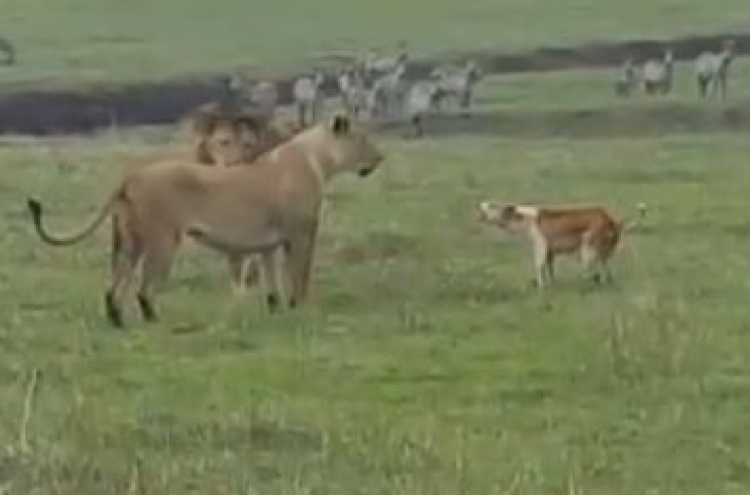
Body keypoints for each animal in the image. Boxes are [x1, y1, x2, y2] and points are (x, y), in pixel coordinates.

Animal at [26, 114, 384, 328]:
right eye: (363, 139)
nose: (380, 158)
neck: (317, 159)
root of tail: (132, 175)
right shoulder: (300, 234)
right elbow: (300, 276)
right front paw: (302, 311)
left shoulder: (267, 244)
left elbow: (271, 282)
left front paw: (275, 311)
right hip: (163, 240)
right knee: (143, 289)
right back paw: (155, 322)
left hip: (128, 241)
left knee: (114, 286)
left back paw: (118, 324)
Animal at [482, 201, 648, 288]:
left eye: (497, 209)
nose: (483, 211)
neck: (526, 219)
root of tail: (611, 219)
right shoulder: (549, 251)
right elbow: (549, 269)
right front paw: (551, 284)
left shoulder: (541, 246)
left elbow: (539, 266)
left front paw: (541, 288)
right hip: (605, 250)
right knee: (605, 269)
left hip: (588, 247)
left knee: (591, 271)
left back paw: (586, 286)